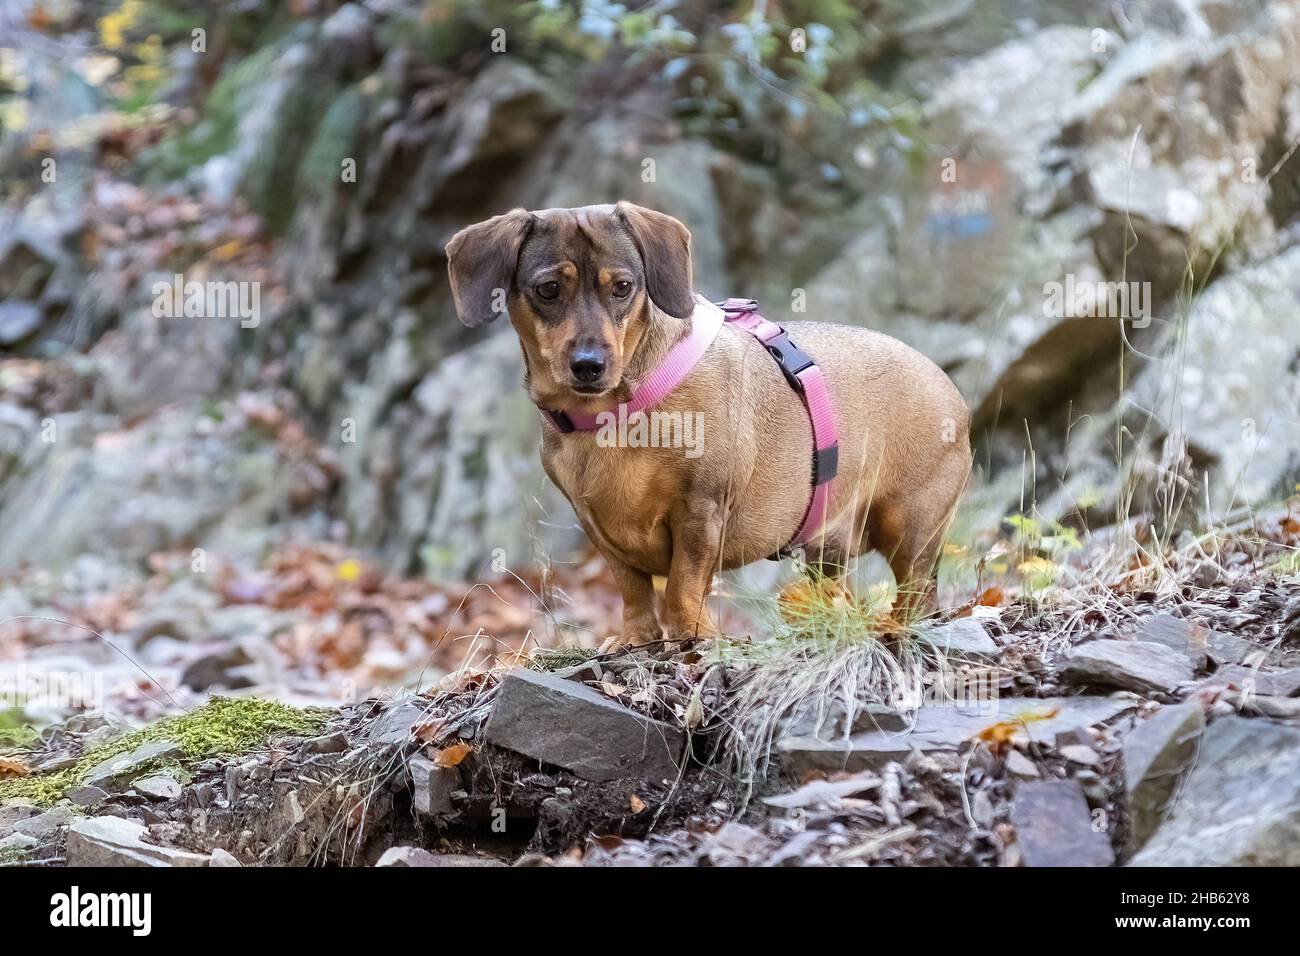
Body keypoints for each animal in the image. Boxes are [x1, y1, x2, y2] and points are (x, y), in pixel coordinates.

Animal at [444, 204, 967, 647]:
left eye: (623, 287)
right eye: (549, 289)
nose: (589, 365)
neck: (615, 413)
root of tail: (952, 392)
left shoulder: (700, 512)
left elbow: (681, 586)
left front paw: (692, 636)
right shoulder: (598, 528)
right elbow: (633, 591)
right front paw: (636, 638)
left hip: (910, 530)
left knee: (919, 593)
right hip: (828, 551)